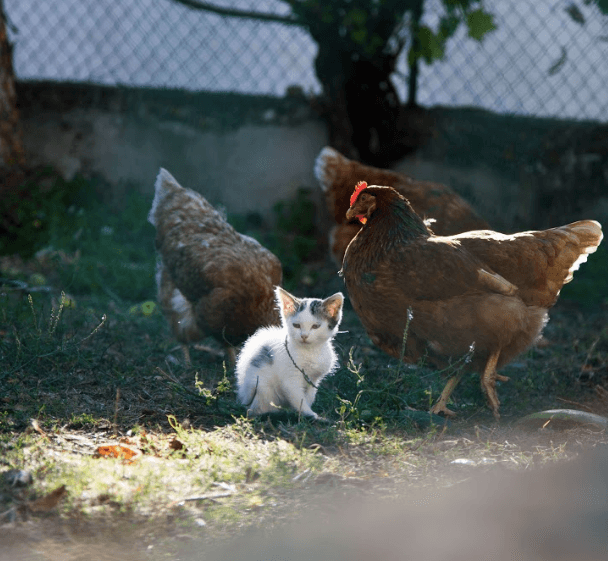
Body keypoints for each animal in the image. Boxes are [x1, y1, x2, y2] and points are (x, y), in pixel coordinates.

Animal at [236, 286, 344, 418]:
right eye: (296, 325)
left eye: (315, 326)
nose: (304, 336)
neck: (309, 352)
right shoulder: (290, 379)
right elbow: (297, 397)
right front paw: (310, 414)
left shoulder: (313, 379)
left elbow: (309, 396)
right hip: (261, 385)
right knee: (258, 409)